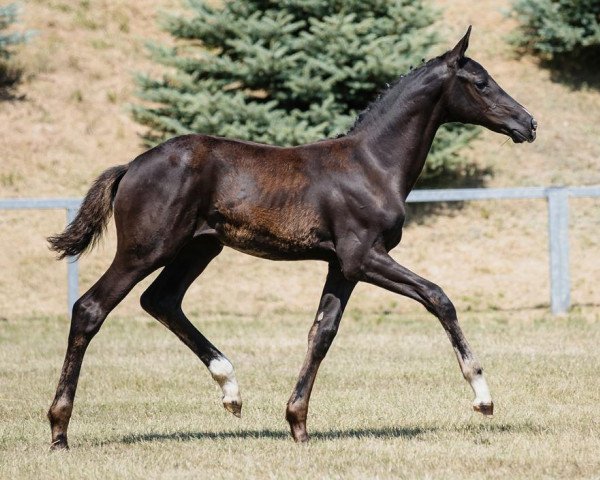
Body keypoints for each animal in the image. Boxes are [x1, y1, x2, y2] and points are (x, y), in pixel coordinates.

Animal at [45, 27, 536, 450]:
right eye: (481, 83)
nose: (528, 123)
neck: (372, 164)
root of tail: (131, 166)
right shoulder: (363, 256)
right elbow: (439, 297)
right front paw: (482, 395)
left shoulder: (341, 265)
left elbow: (322, 332)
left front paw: (298, 424)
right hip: (146, 249)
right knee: (90, 308)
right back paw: (59, 430)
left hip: (200, 247)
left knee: (161, 300)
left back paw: (230, 389)